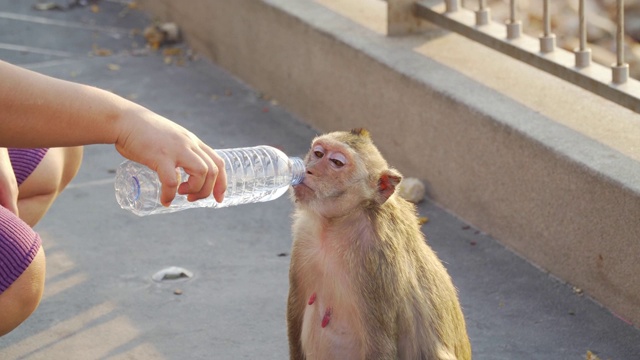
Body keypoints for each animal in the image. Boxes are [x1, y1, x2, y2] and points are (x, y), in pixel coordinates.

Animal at [284, 129, 470, 360]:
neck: (338, 223)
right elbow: (296, 311)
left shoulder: (376, 260)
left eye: (336, 162)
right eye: (318, 153)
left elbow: (380, 343)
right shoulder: (305, 233)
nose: (308, 169)